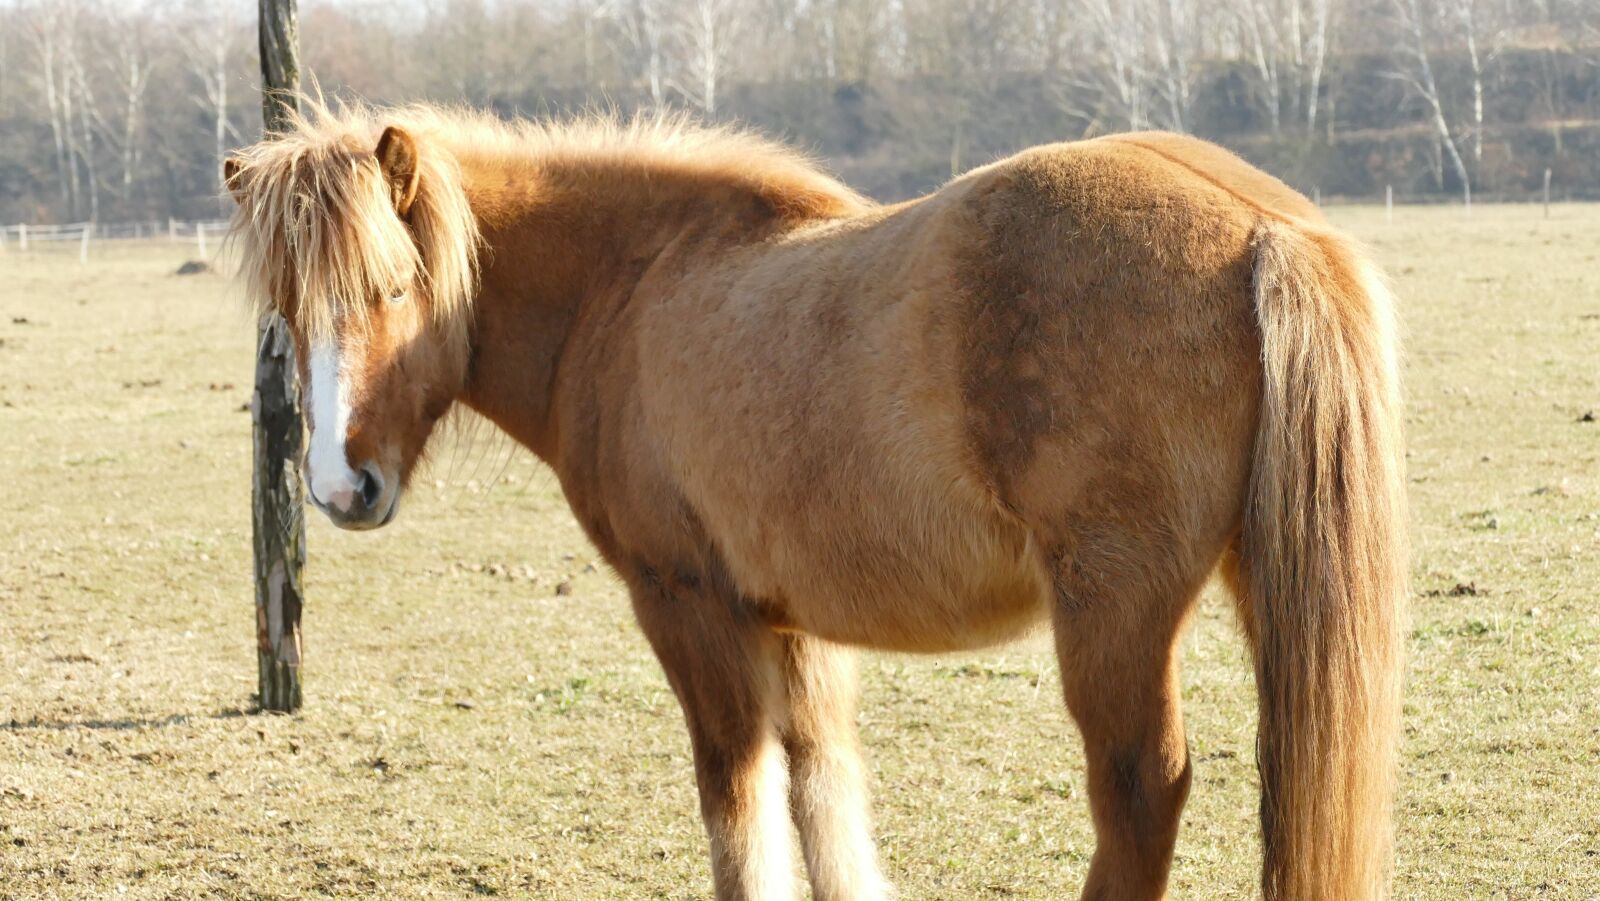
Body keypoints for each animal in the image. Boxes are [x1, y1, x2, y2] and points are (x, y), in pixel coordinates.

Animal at [224, 100, 1407, 901]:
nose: (340, 486)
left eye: (394, 287)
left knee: (1139, 792)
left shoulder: (687, 603)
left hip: (1112, 612)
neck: (633, 284)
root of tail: (1261, 229)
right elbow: (819, 787)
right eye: (285, 309)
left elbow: (738, 795)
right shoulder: (791, 624)